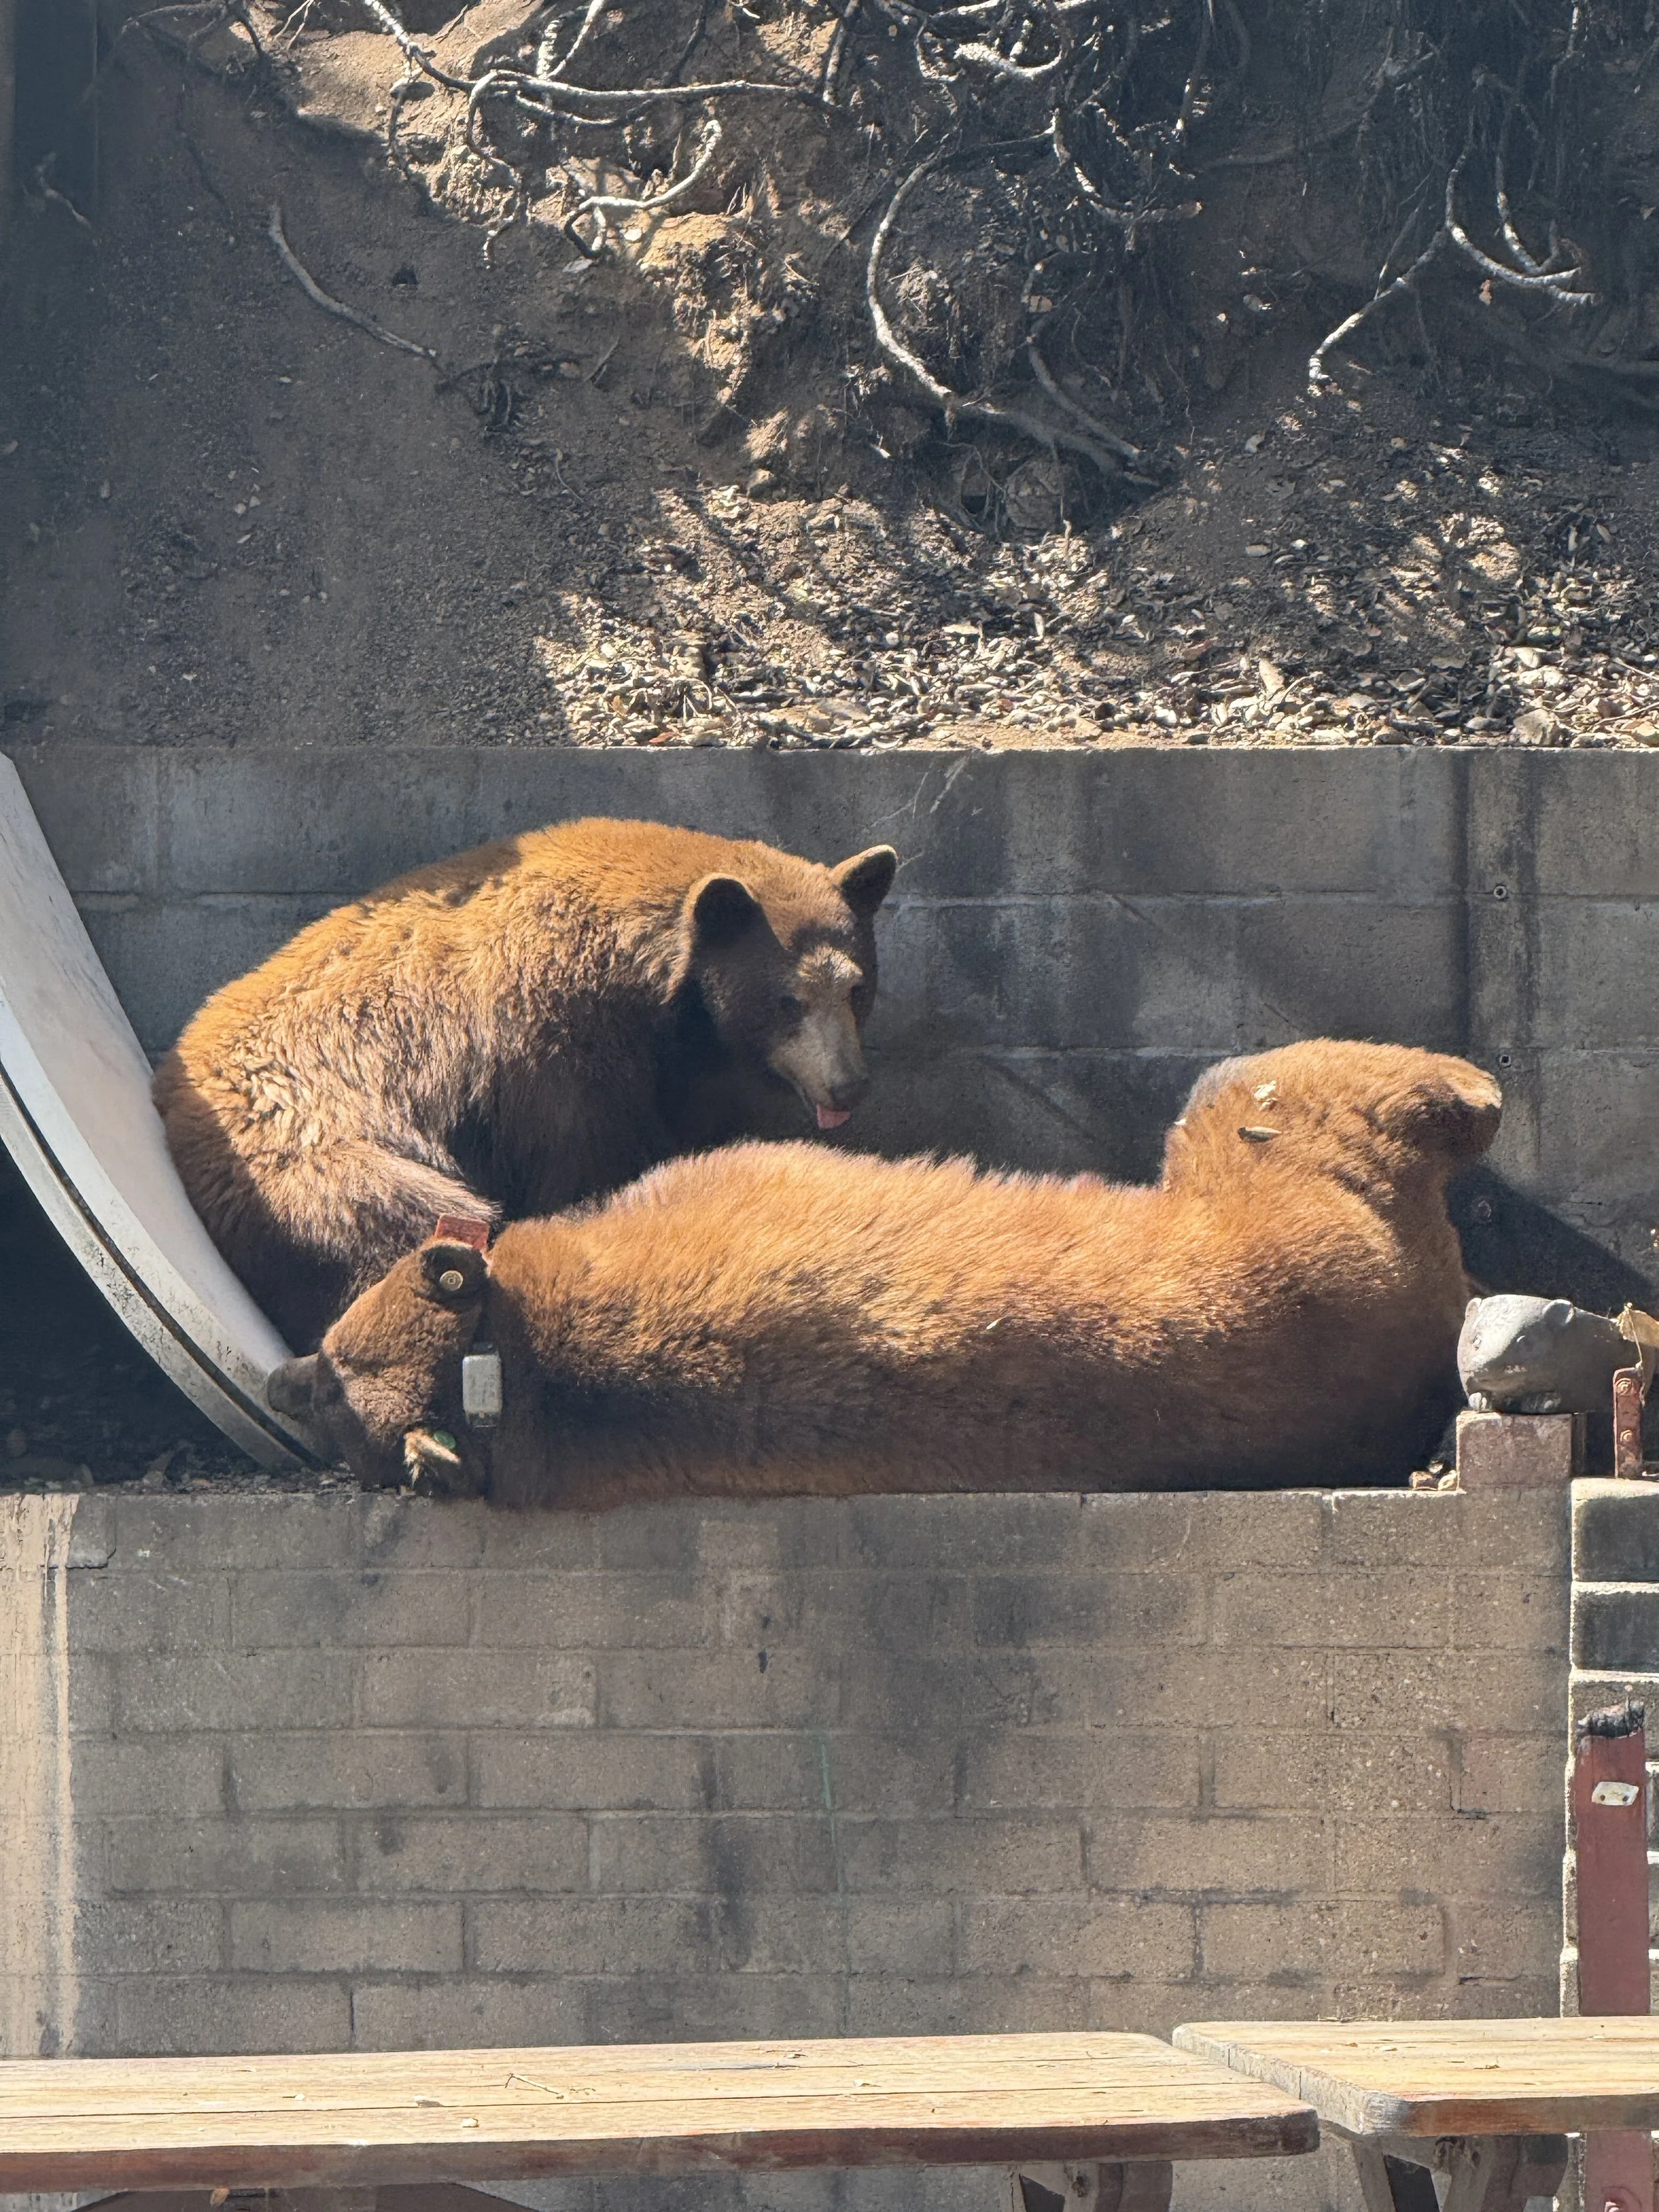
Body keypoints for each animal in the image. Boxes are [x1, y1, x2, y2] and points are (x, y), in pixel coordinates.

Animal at [154, 817, 898, 1351]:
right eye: (787, 1000)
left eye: (858, 987)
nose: (848, 1087)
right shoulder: (555, 1042)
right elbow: (585, 1160)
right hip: (315, 1156)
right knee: (402, 1223)